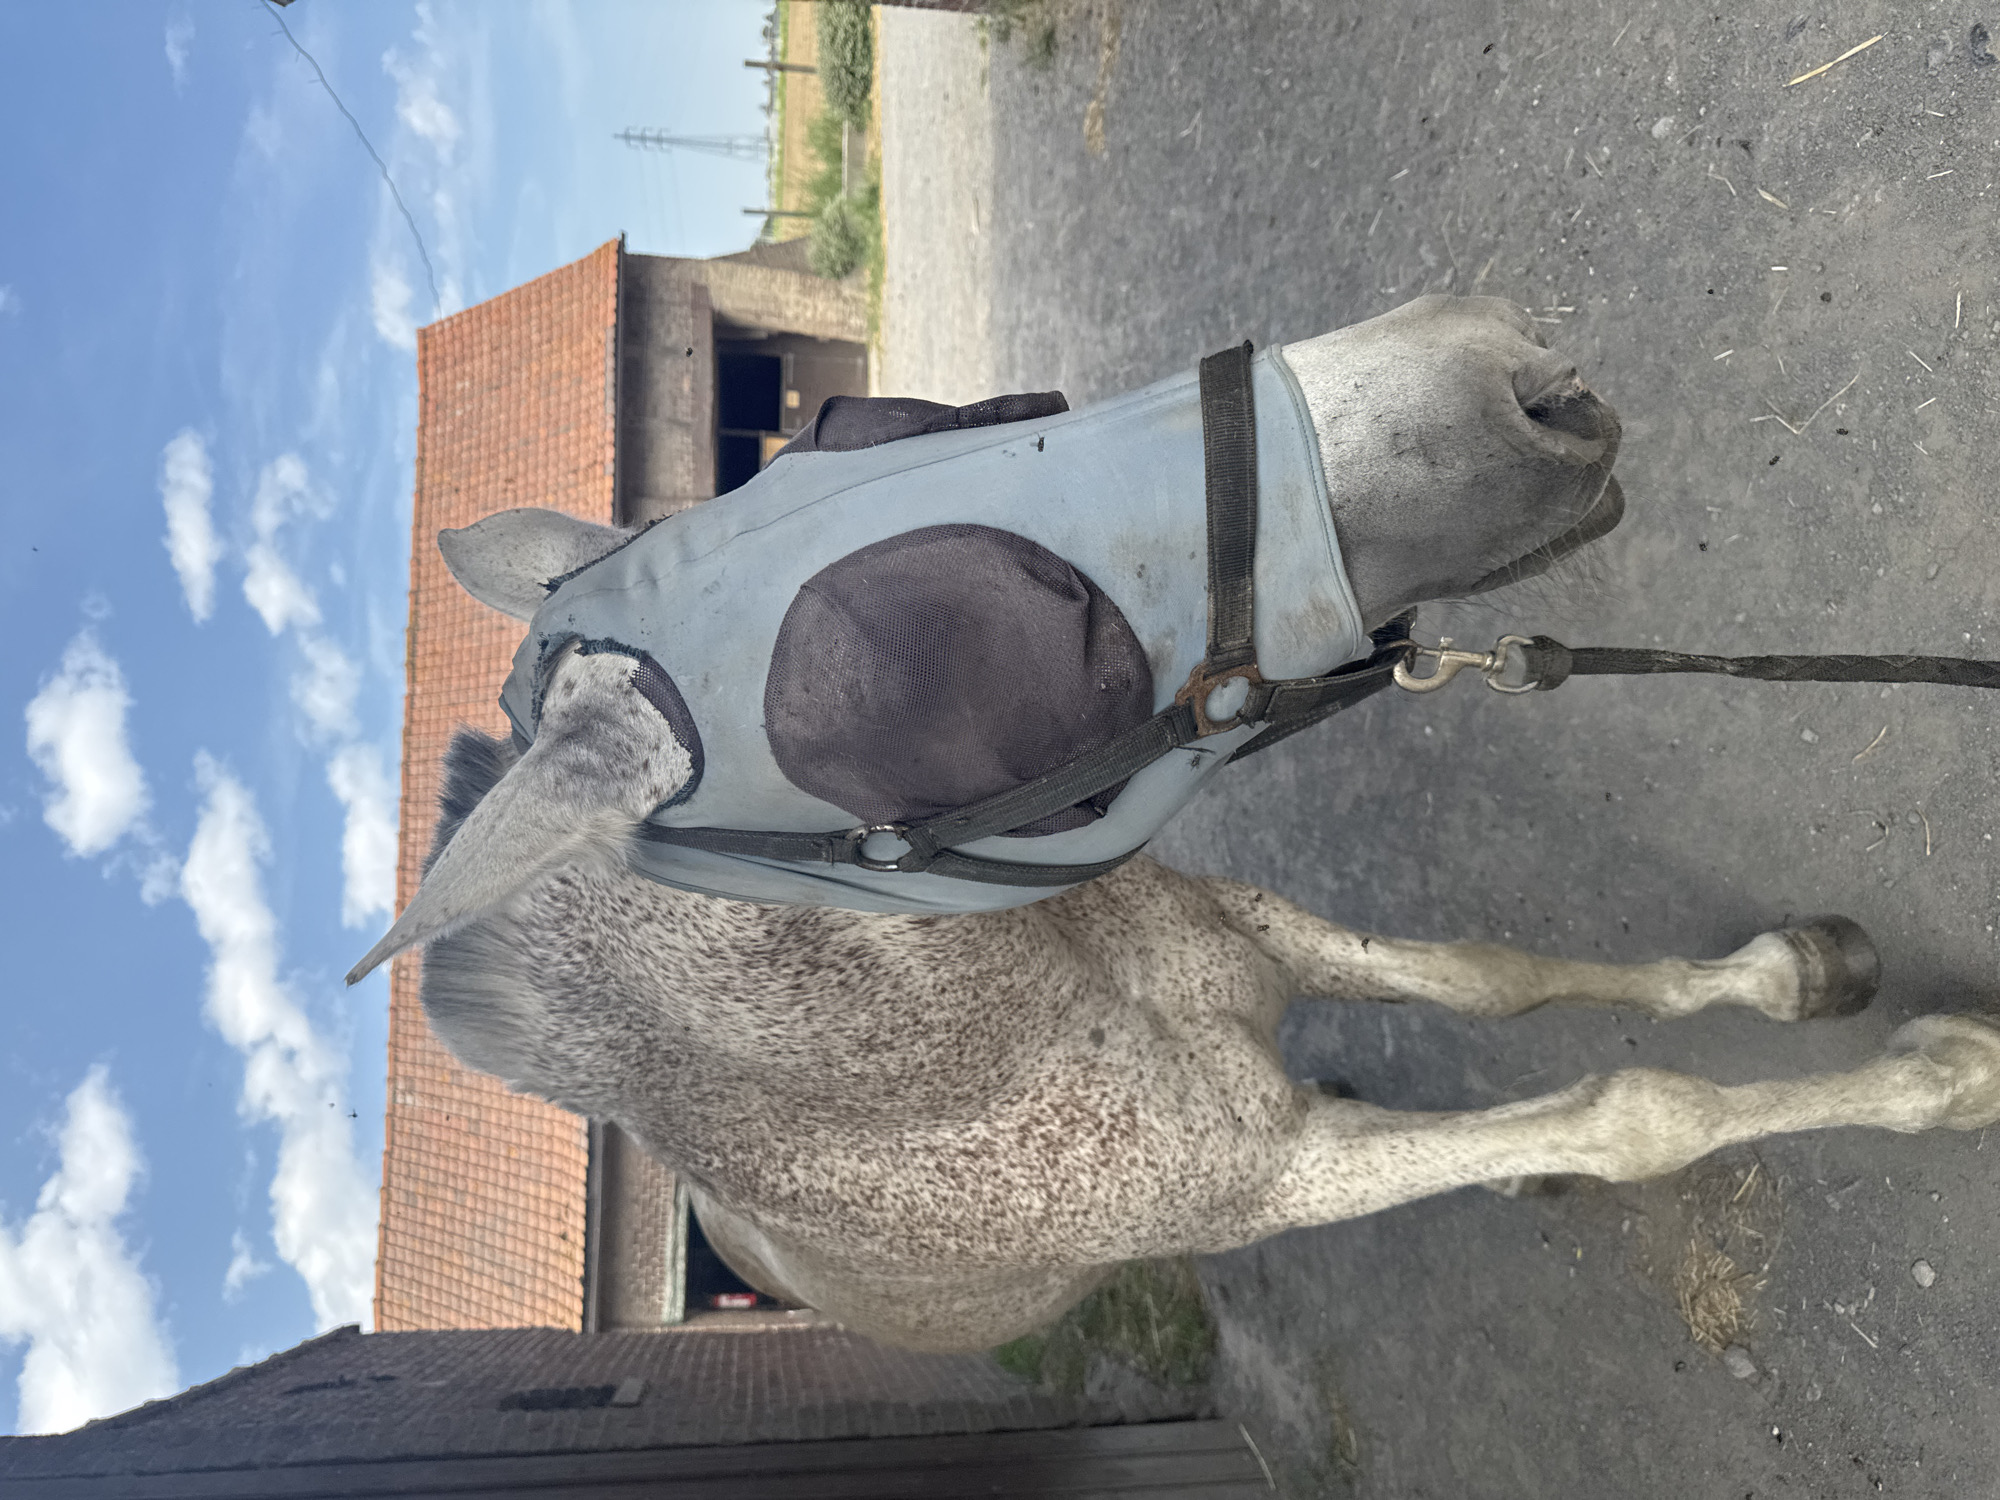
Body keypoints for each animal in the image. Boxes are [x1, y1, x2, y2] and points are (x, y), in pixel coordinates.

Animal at [349, 295, 2000, 1352]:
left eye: (918, 423)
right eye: (946, 654)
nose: (1514, 374)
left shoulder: (1250, 931)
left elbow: (1495, 979)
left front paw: (1798, 973)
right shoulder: (1280, 1181)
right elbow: (1634, 1113)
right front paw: (1949, 1077)